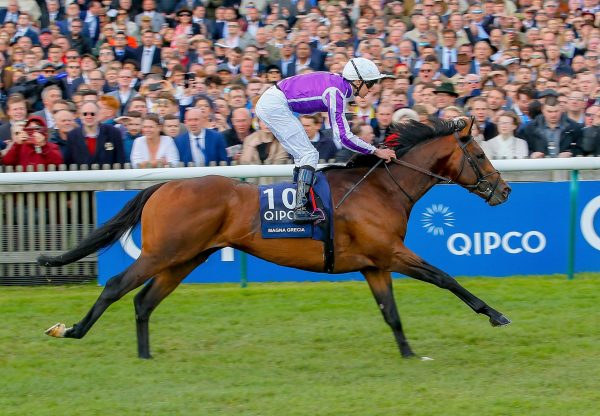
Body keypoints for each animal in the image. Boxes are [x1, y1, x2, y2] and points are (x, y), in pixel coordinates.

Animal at [41, 115, 510, 360]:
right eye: (479, 154)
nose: (504, 190)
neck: (383, 188)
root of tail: (165, 184)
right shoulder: (392, 253)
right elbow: (446, 278)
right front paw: (495, 314)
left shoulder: (374, 265)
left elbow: (390, 313)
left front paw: (410, 353)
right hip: (163, 252)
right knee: (117, 286)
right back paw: (72, 331)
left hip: (187, 258)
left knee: (143, 300)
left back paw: (145, 355)